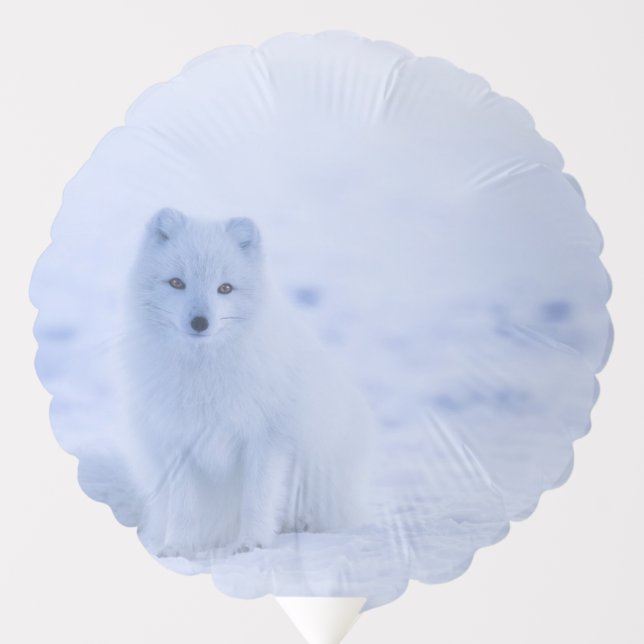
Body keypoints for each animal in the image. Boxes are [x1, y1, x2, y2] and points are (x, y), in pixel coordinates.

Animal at [122, 208, 376, 558]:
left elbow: (257, 499)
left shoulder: (265, 438)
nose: (200, 322)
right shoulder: (179, 441)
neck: (205, 375)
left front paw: (251, 544)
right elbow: (184, 507)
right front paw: (177, 547)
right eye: (176, 283)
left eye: (225, 288)